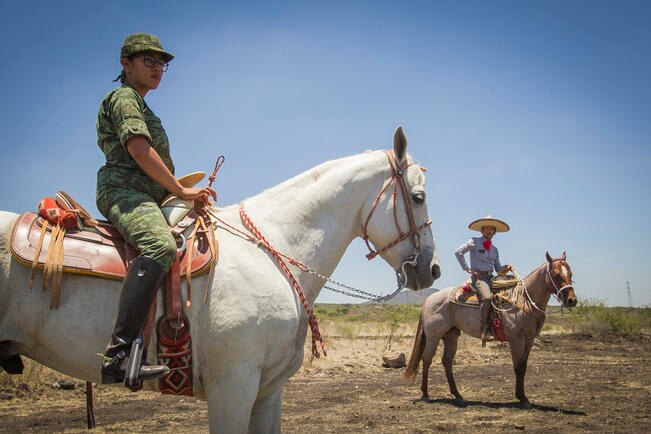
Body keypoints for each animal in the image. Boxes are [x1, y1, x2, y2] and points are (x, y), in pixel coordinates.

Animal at [404, 252, 576, 408]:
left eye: (570, 273)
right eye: (556, 274)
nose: (572, 300)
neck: (523, 299)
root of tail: (428, 300)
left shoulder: (529, 340)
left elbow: (524, 367)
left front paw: (523, 397)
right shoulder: (516, 340)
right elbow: (518, 367)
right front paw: (522, 398)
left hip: (451, 335)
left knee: (446, 361)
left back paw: (457, 395)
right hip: (433, 336)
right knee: (427, 359)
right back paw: (425, 394)